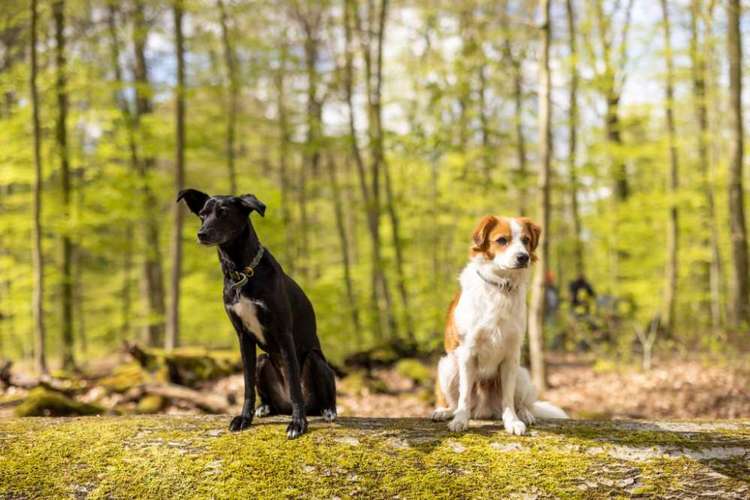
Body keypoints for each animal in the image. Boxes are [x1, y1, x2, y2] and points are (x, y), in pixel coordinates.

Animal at [178, 189, 336, 440]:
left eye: (223, 213)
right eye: (202, 214)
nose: (201, 234)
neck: (242, 272)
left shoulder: (283, 334)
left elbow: (294, 385)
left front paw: (298, 423)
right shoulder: (243, 336)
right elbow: (247, 384)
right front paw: (245, 418)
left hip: (315, 359)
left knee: (324, 395)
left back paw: (327, 410)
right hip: (263, 360)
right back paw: (266, 408)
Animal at [432, 215, 568, 434]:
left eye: (526, 240)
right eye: (502, 240)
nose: (523, 257)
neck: (501, 287)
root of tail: (483, 410)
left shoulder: (512, 354)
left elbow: (508, 399)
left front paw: (512, 421)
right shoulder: (467, 352)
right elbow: (464, 396)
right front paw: (460, 420)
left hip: (522, 374)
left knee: (521, 403)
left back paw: (525, 414)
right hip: (447, 366)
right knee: (456, 401)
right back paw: (446, 412)